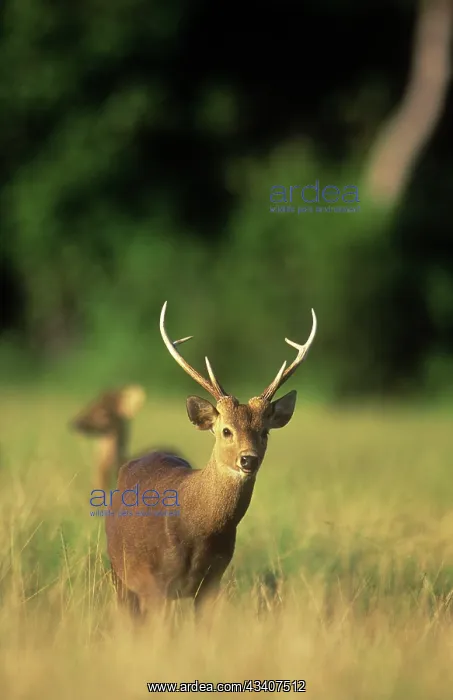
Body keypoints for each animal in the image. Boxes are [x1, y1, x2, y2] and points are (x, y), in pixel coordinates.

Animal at [105, 301, 317, 620]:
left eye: (264, 432)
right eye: (226, 430)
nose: (248, 460)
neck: (196, 528)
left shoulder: (212, 581)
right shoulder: (156, 582)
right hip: (119, 573)